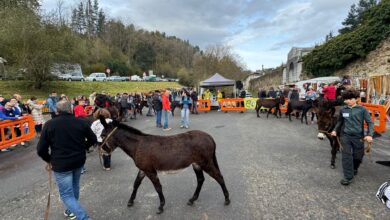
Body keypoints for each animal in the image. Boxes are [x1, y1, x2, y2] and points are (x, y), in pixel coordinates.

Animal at [99, 117, 230, 214]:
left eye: (102, 135)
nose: (102, 152)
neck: (137, 145)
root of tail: (209, 137)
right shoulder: (143, 169)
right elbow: (136, 184)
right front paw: (130, 201)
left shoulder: (150, 171)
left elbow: (158, 187)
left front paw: (161, 206)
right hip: (196, 164)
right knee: (201, 179)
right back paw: (192, 200)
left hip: (205, 163)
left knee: (219, 177)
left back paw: (227, 199)